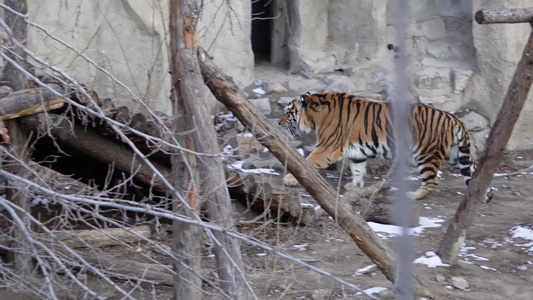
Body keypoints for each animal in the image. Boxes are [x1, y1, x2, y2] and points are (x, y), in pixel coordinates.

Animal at [280, 91, 492, 202]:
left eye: (287, 112)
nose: (279, 123)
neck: (315, 114)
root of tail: (454, 119)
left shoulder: (327, 147)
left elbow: (308, 162)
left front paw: (290, 179)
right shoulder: (356, 152)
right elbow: (358, 169)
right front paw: (355, 186)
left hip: (426, 154)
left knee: (433, 179)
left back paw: (414, 195)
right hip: (455, 155)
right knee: (473, 170)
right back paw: (486, 193)